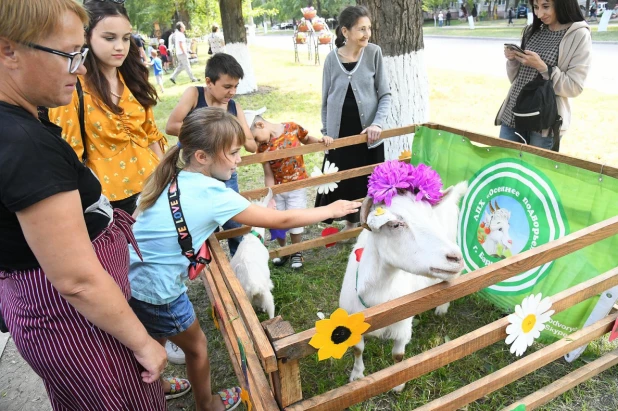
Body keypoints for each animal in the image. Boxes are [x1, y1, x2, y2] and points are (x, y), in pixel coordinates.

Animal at [336, 181, 466, 392]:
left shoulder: (403, 327)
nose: (455, 258)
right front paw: (357, 376)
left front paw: (397, 384)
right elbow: (358, 349)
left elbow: (398, 355)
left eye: (430, 217)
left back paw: (441, 308)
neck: (377, 295)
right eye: (396, 224)